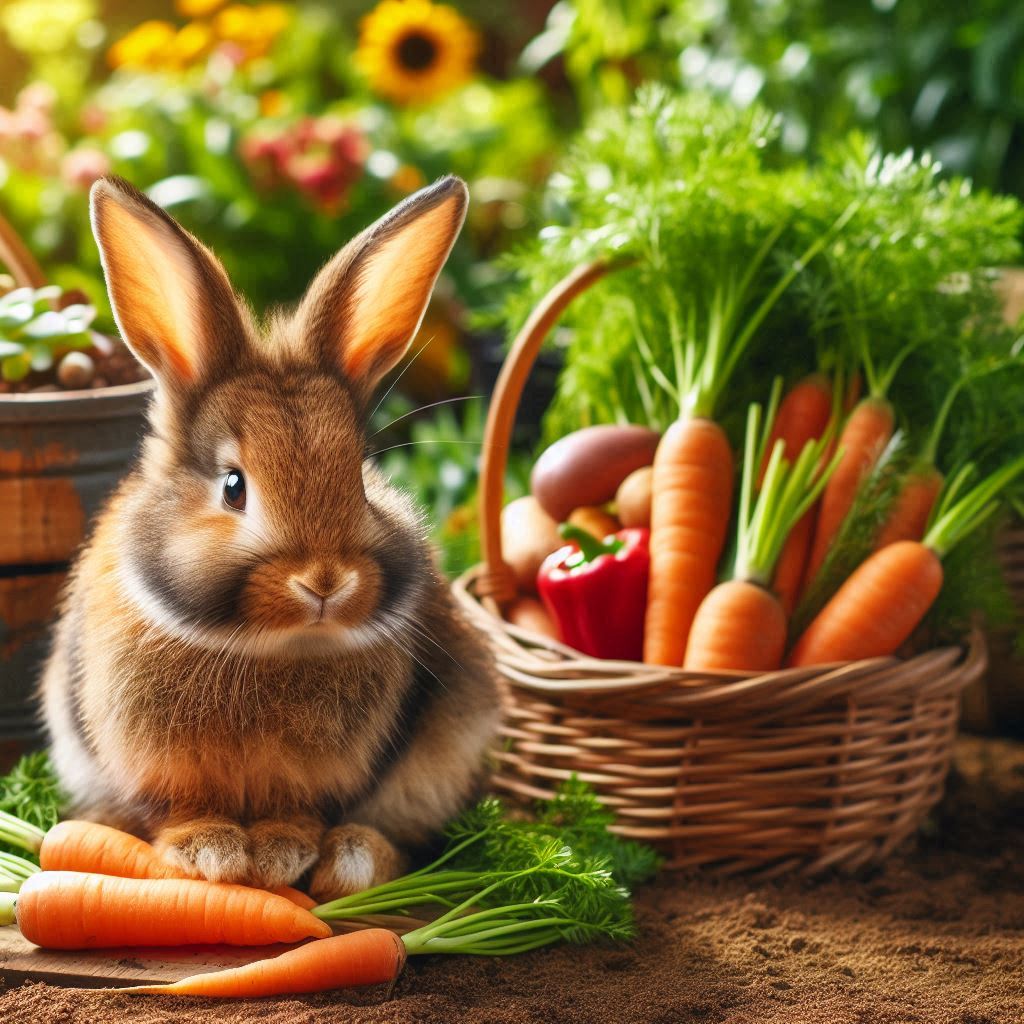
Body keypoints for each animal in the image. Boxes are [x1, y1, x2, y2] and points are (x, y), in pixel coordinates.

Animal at [40, 173, 501, 901]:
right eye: (234, 486)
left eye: (359, 480)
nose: (325, 582)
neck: (265, 646)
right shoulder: (157, 769)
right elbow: (178, 810)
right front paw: (210, 852)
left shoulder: (321, 779)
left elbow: (302, 812)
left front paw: (283, 854)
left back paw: (353, 860)